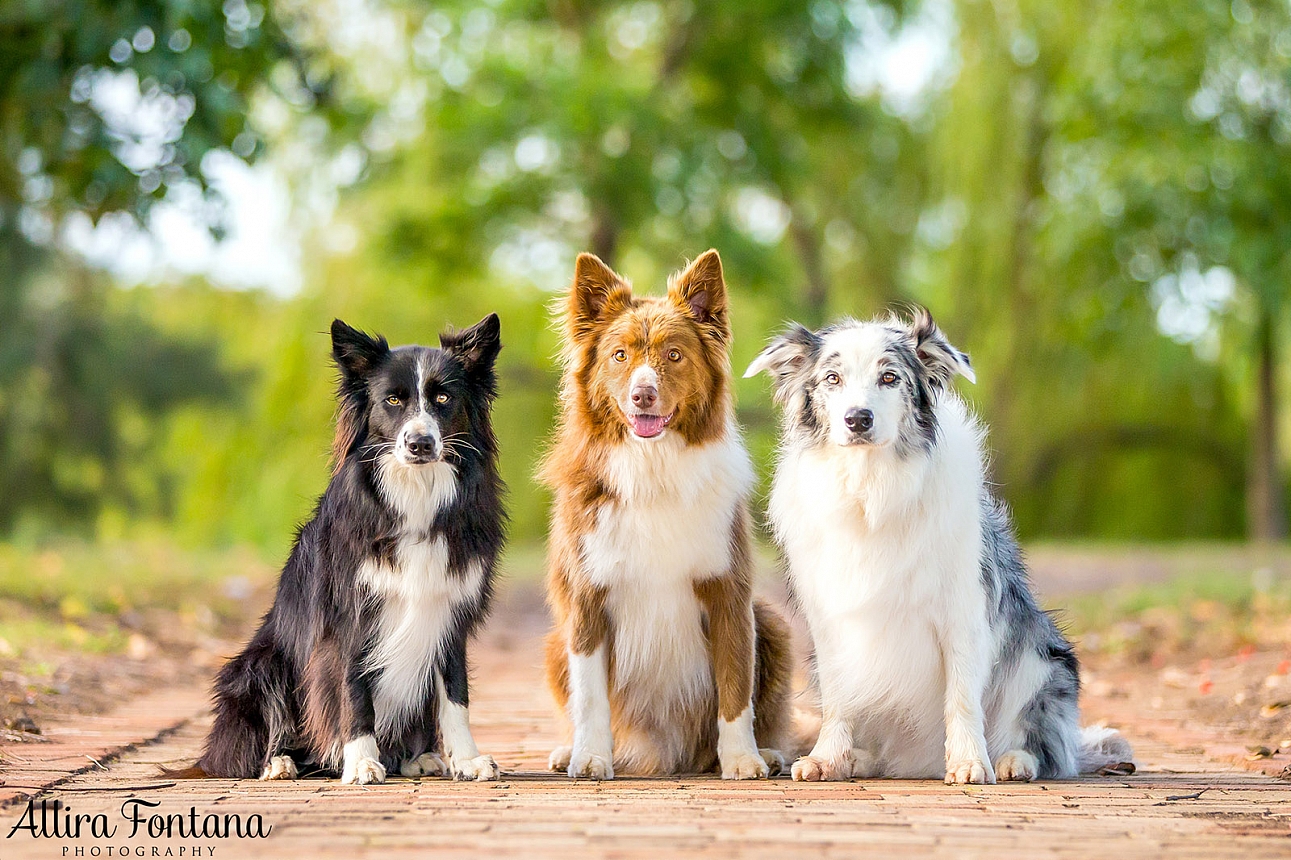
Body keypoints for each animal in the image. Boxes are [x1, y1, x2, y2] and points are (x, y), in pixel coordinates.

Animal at [193, 311, 506, 779]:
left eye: (443, 397)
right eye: (392, 400)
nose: (420, 444)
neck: (414, 494)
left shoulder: (449, 614)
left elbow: (455, 696)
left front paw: (467, 759)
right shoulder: (348, 617)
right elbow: (353, 690)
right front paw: (360, 761)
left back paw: (417, 758)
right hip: (258, 665)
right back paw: (280, 763)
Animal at [539, 246, 790, 774]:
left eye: (674, 355)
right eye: (619, 355)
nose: (642, 394)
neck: (652, 466)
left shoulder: (729, 593)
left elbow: (736, 688)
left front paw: (742, 759)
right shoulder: (587, 596)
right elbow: (590, 695)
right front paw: (591, 757)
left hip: (774, 626)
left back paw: (769, 752)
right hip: (555, 641)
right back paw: (570, 749)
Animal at [748, 309, 1130, 785]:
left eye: (890, 377)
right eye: (832, 378)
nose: (858, 419)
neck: (872, 489)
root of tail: (921, 761)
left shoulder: (963, 612)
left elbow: (962, 698)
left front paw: (969, 763)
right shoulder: (831, 619)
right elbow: (839, 699)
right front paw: (827, 758)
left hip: (1042, 659)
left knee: (1047, 746)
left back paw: (1012, 761)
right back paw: (862, 759)